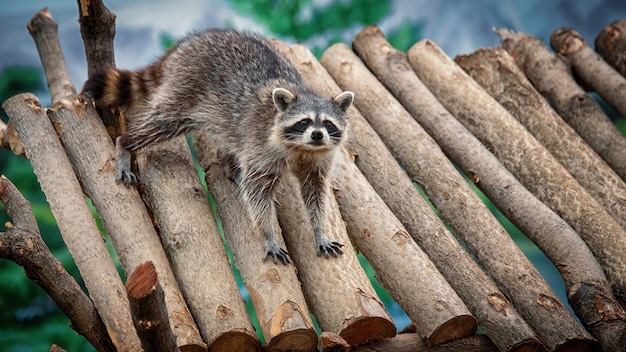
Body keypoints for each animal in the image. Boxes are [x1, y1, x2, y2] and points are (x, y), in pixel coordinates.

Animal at [83, 28, 354, 264]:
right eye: (304, 121)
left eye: (328, 124)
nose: (317, 135)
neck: (302, 148)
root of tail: (189, 43)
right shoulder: (262, 146)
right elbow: (257, 193)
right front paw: (268, 234)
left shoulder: (318, 160)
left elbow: (315, 192)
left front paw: (318, 229)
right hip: (187, 88)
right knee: (162, 121)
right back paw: (126, 144)